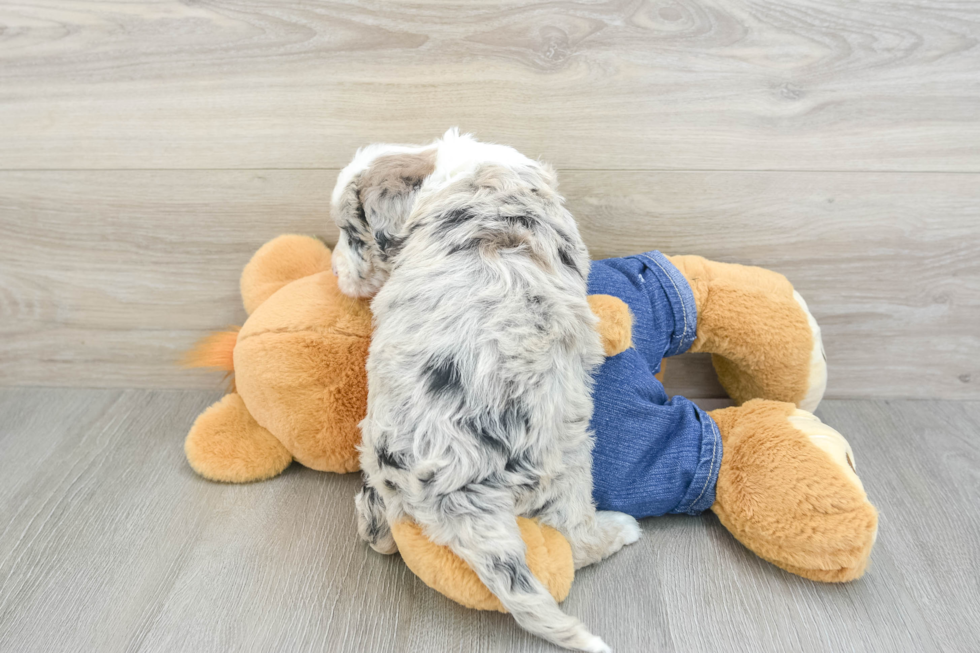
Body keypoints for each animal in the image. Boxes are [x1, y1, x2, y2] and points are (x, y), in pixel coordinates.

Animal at [330, 130, 640, 648]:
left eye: (353, 234)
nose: (335, 274)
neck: (450, 172)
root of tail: (449, 487)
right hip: (567, 460)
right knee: (574, 538)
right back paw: (621, 529)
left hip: (375, 462)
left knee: (379, 530)